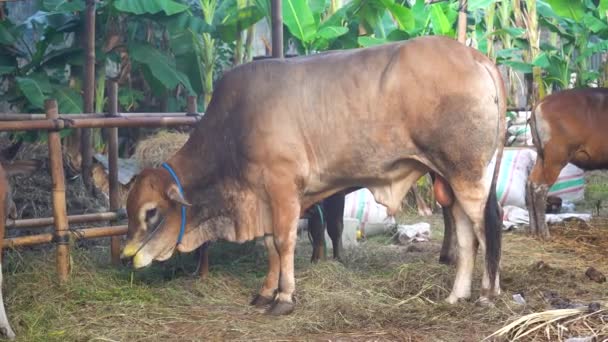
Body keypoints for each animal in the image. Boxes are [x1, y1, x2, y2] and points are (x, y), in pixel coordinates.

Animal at [121, 35, 506, 316]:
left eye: (151, 212)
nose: (126, 256)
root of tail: (478, 58)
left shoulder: (283, 190)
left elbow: (284, 243)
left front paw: (284, 298)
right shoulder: (265, 199)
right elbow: (270, 247)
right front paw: (265, 293)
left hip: (468, 174)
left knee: (484, 227)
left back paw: (488, 295)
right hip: (448, 178)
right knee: (465, 236)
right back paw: (457, 295)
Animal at [524, 87, 608, 238]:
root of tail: (542, 102)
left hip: (542, 156)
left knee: (530, 185)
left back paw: (534, 231)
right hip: (555, 159)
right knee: (540, 189)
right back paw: (545, 233)